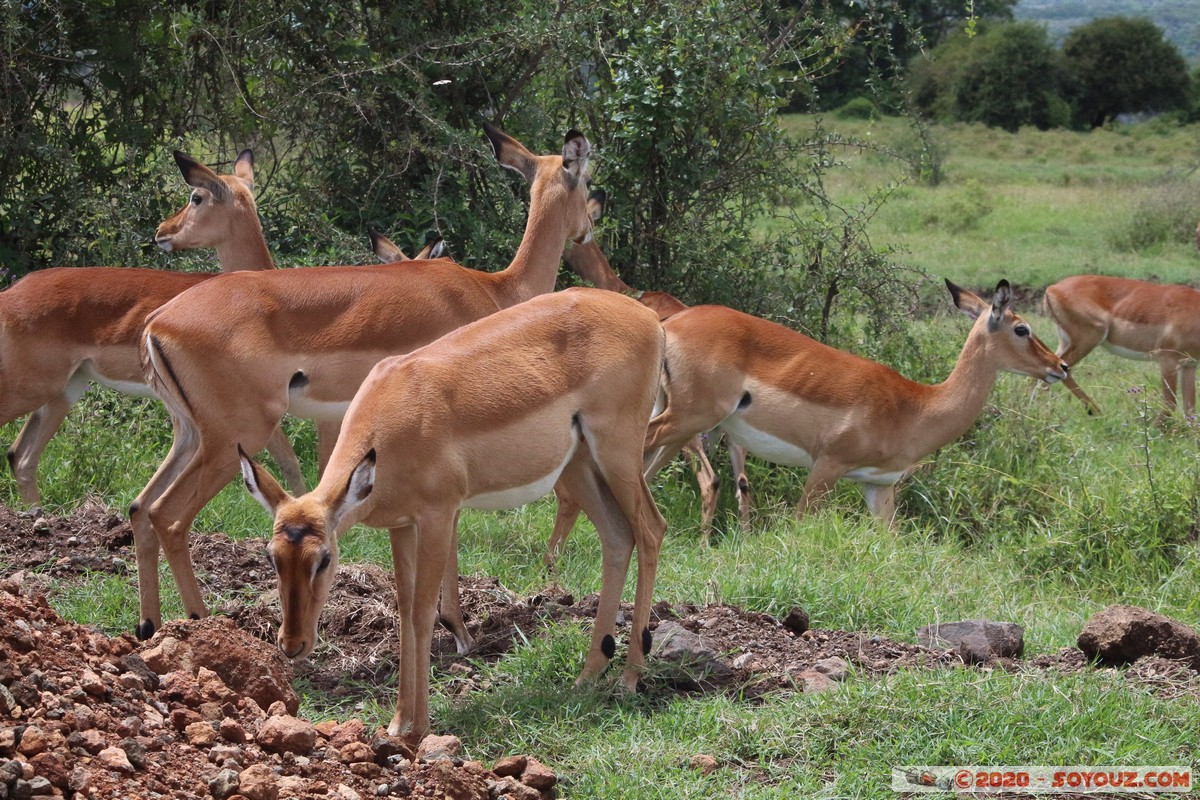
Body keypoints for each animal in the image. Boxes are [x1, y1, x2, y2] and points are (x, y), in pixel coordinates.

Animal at [0, 150, 309, 509]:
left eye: (196, 197)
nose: (163, 230)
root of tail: (11, 293)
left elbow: (290, 462)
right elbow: (289, 460)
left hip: (65, 389)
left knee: (22, 455)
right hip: (33, 386)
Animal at [130, 123, 594, 650]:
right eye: (588, 181)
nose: (589, 229)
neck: (495, 289)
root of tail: (157, 322)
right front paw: (457, 629)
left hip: (191, 435)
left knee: (140, 507)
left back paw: (149, 626)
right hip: (236, 437)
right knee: (169, 516)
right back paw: (200, 623)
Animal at [240, 287, 666, 742]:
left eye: (324, 559)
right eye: (272, 557)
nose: (292, 645)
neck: (396, 412)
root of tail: (650, 319)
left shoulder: (439, 516)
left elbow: (424, 612)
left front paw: (419, 730)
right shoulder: (401, 525)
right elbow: (404, 610)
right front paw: (397, 722)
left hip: (618, 453)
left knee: (652, 529)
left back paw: (629, 679)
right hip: (580, 464)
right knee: (617, 536)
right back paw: (587, 676)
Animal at [641, 280, 1069, 524]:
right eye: (1022, 328)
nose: (1060, 367)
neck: (916, 407)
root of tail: (669, 324)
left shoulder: (878, 486)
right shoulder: (827, 466)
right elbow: (800, 525)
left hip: (679, 426)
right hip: (687, 418)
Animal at [1042, 275, 1200, 418]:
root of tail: (1053, 288)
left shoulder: (1189, 365)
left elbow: (1190, 409)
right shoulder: (1168, 360)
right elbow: (1170, 403)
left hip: (1066, 342)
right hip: (1090, 337)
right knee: (1062, 371)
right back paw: (1095, 412)